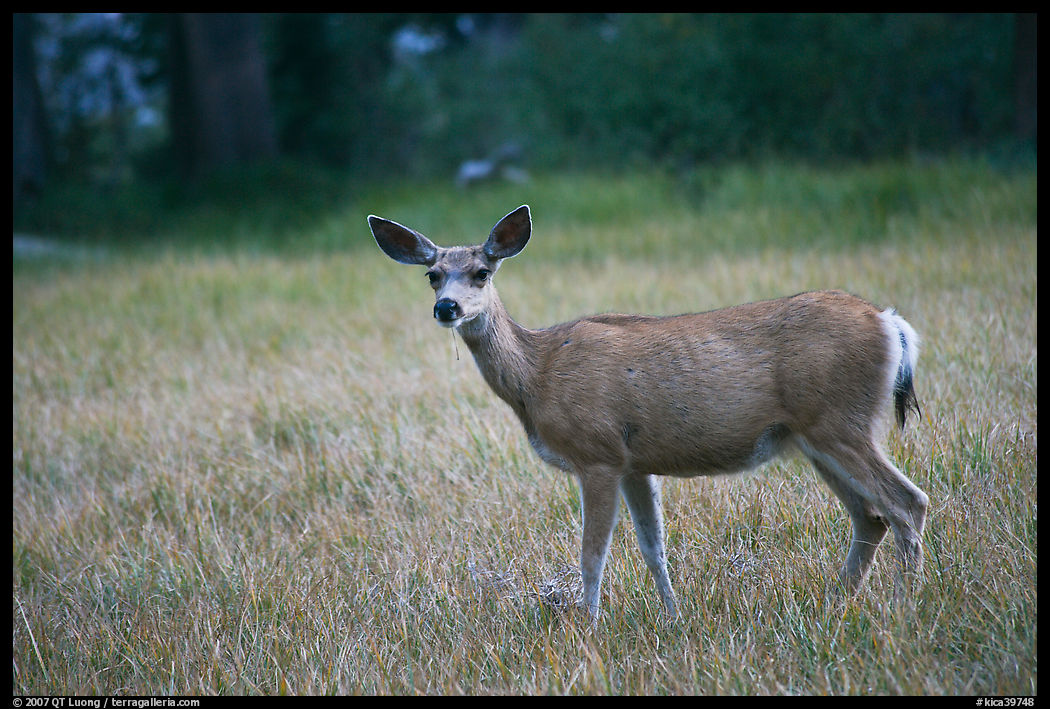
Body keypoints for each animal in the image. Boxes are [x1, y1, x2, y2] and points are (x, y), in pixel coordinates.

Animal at [368, 204, 928, 620]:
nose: (447, 308)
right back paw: (836, 603)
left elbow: (592, 553)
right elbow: (652, 546)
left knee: (907, 502)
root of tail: (891, 324)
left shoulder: (598, 453)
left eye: (482, 272)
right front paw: (673, 616)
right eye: (433, 275)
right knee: (870, 516)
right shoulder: (636, 463)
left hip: (839, 422)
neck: (537, 374)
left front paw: (589, 626)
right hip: (815, 437)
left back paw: (903, 607)